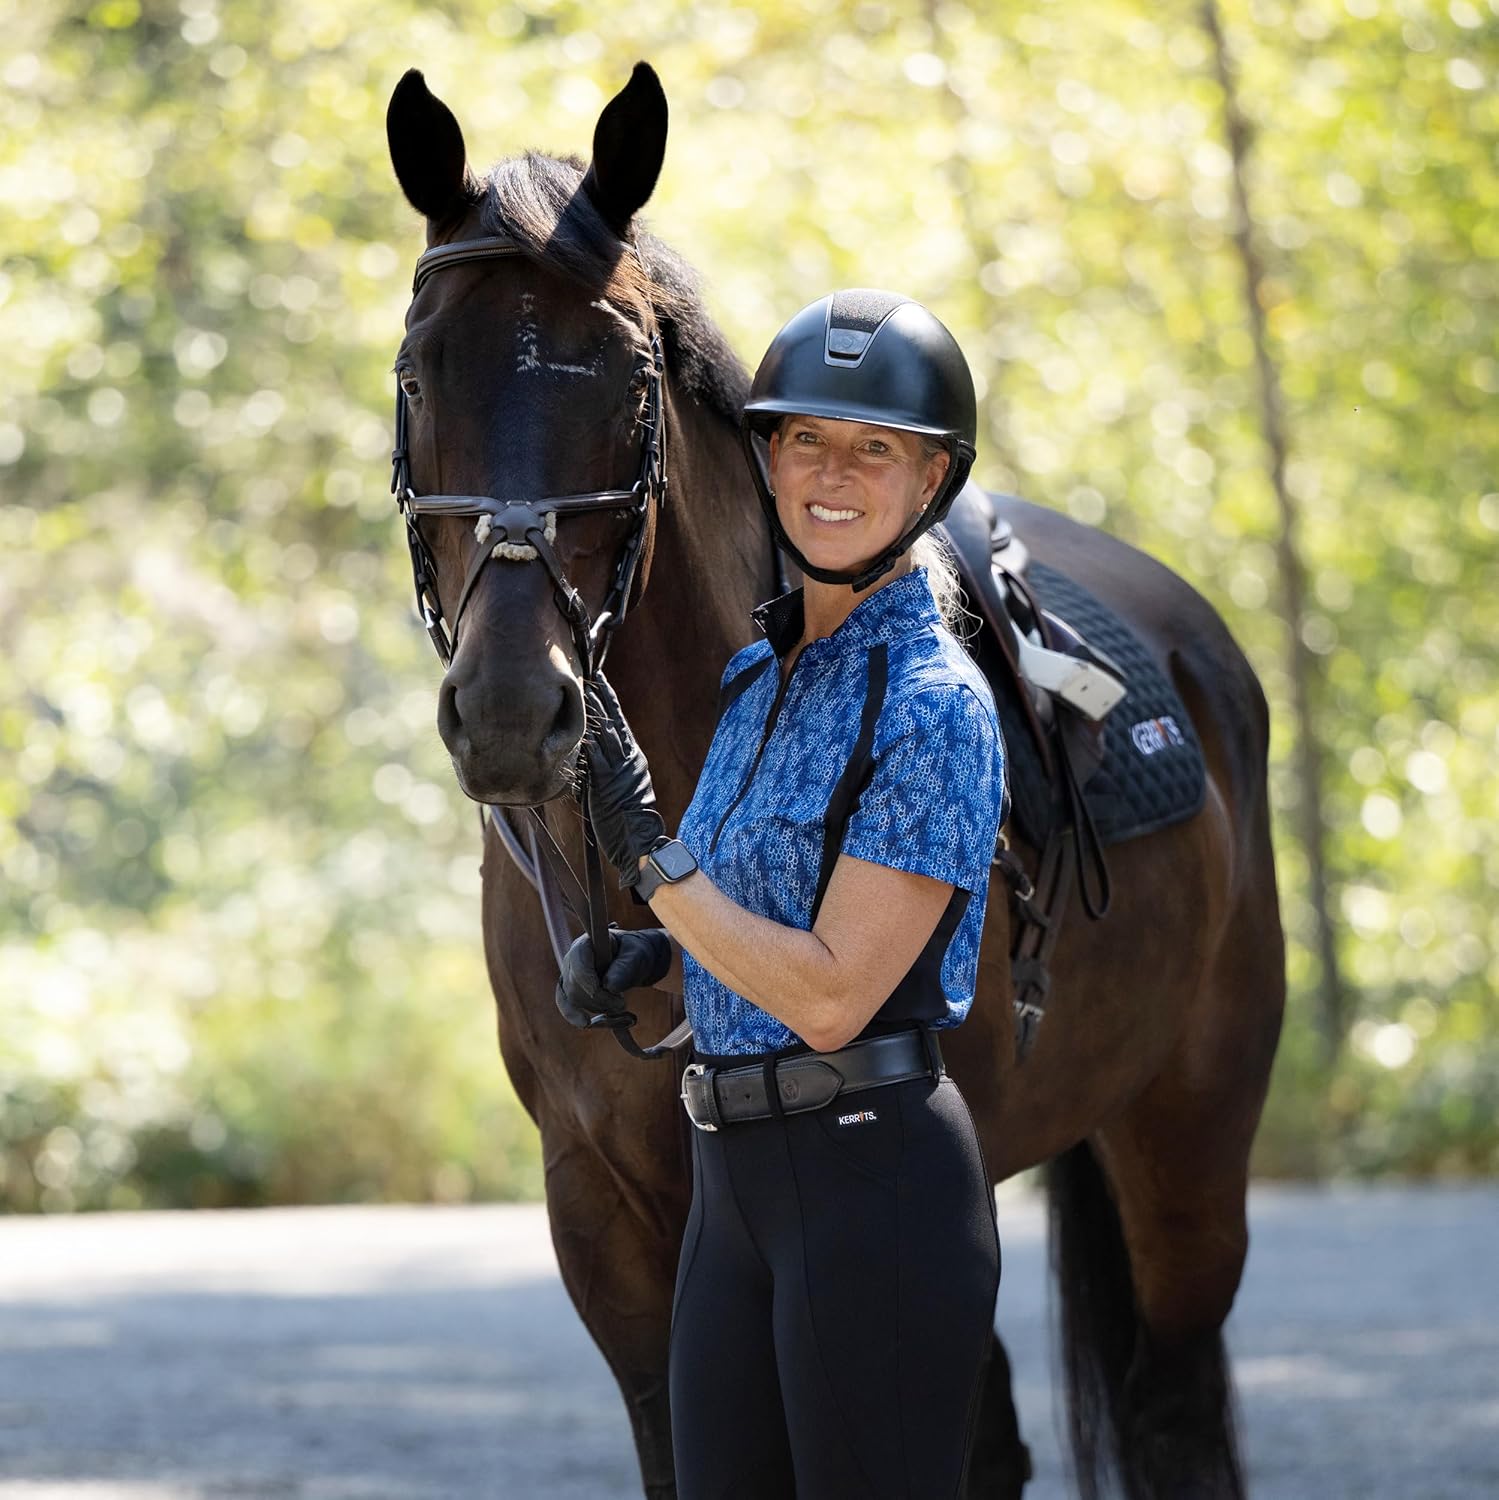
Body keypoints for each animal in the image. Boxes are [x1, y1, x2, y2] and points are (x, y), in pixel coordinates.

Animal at [384, 61, 1285, 1500]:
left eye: (630, 383)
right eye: (420, 376)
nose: (516, 711)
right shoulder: (604, 1221)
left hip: (1186, 1143)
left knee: (1163, 1410)